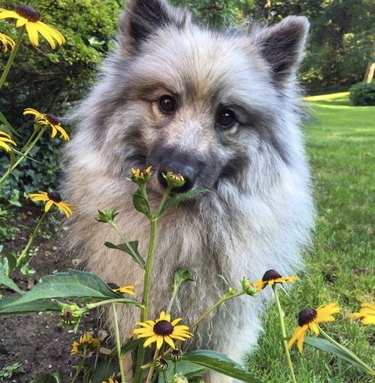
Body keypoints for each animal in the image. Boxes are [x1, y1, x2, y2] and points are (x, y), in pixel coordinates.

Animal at [64, 1, 314, 382]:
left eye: (227, 116)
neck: (182, 224)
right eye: (166, 102)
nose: (177, 176)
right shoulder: (135, 317)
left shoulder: (226, 333)